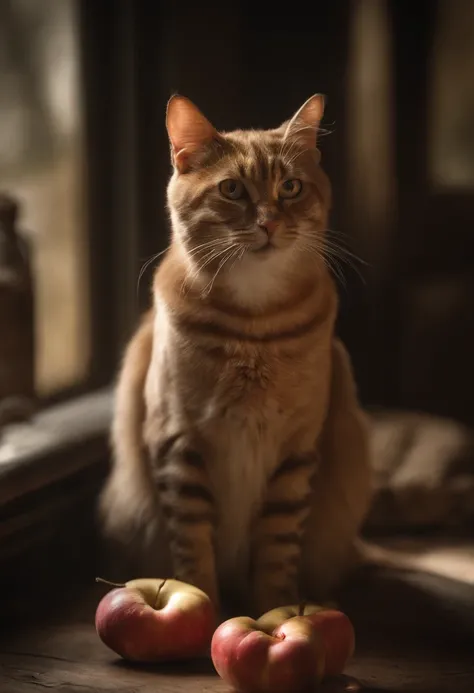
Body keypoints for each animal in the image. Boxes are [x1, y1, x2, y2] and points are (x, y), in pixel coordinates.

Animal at [101, 93, 374, 616]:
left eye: (290, 187)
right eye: (231, 190)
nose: (269, 222)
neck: (254, 328)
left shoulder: (295, 451)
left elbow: (277, 552)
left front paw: (274, 609)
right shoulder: (179, 443)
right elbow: (193, 551)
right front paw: (205, 605)